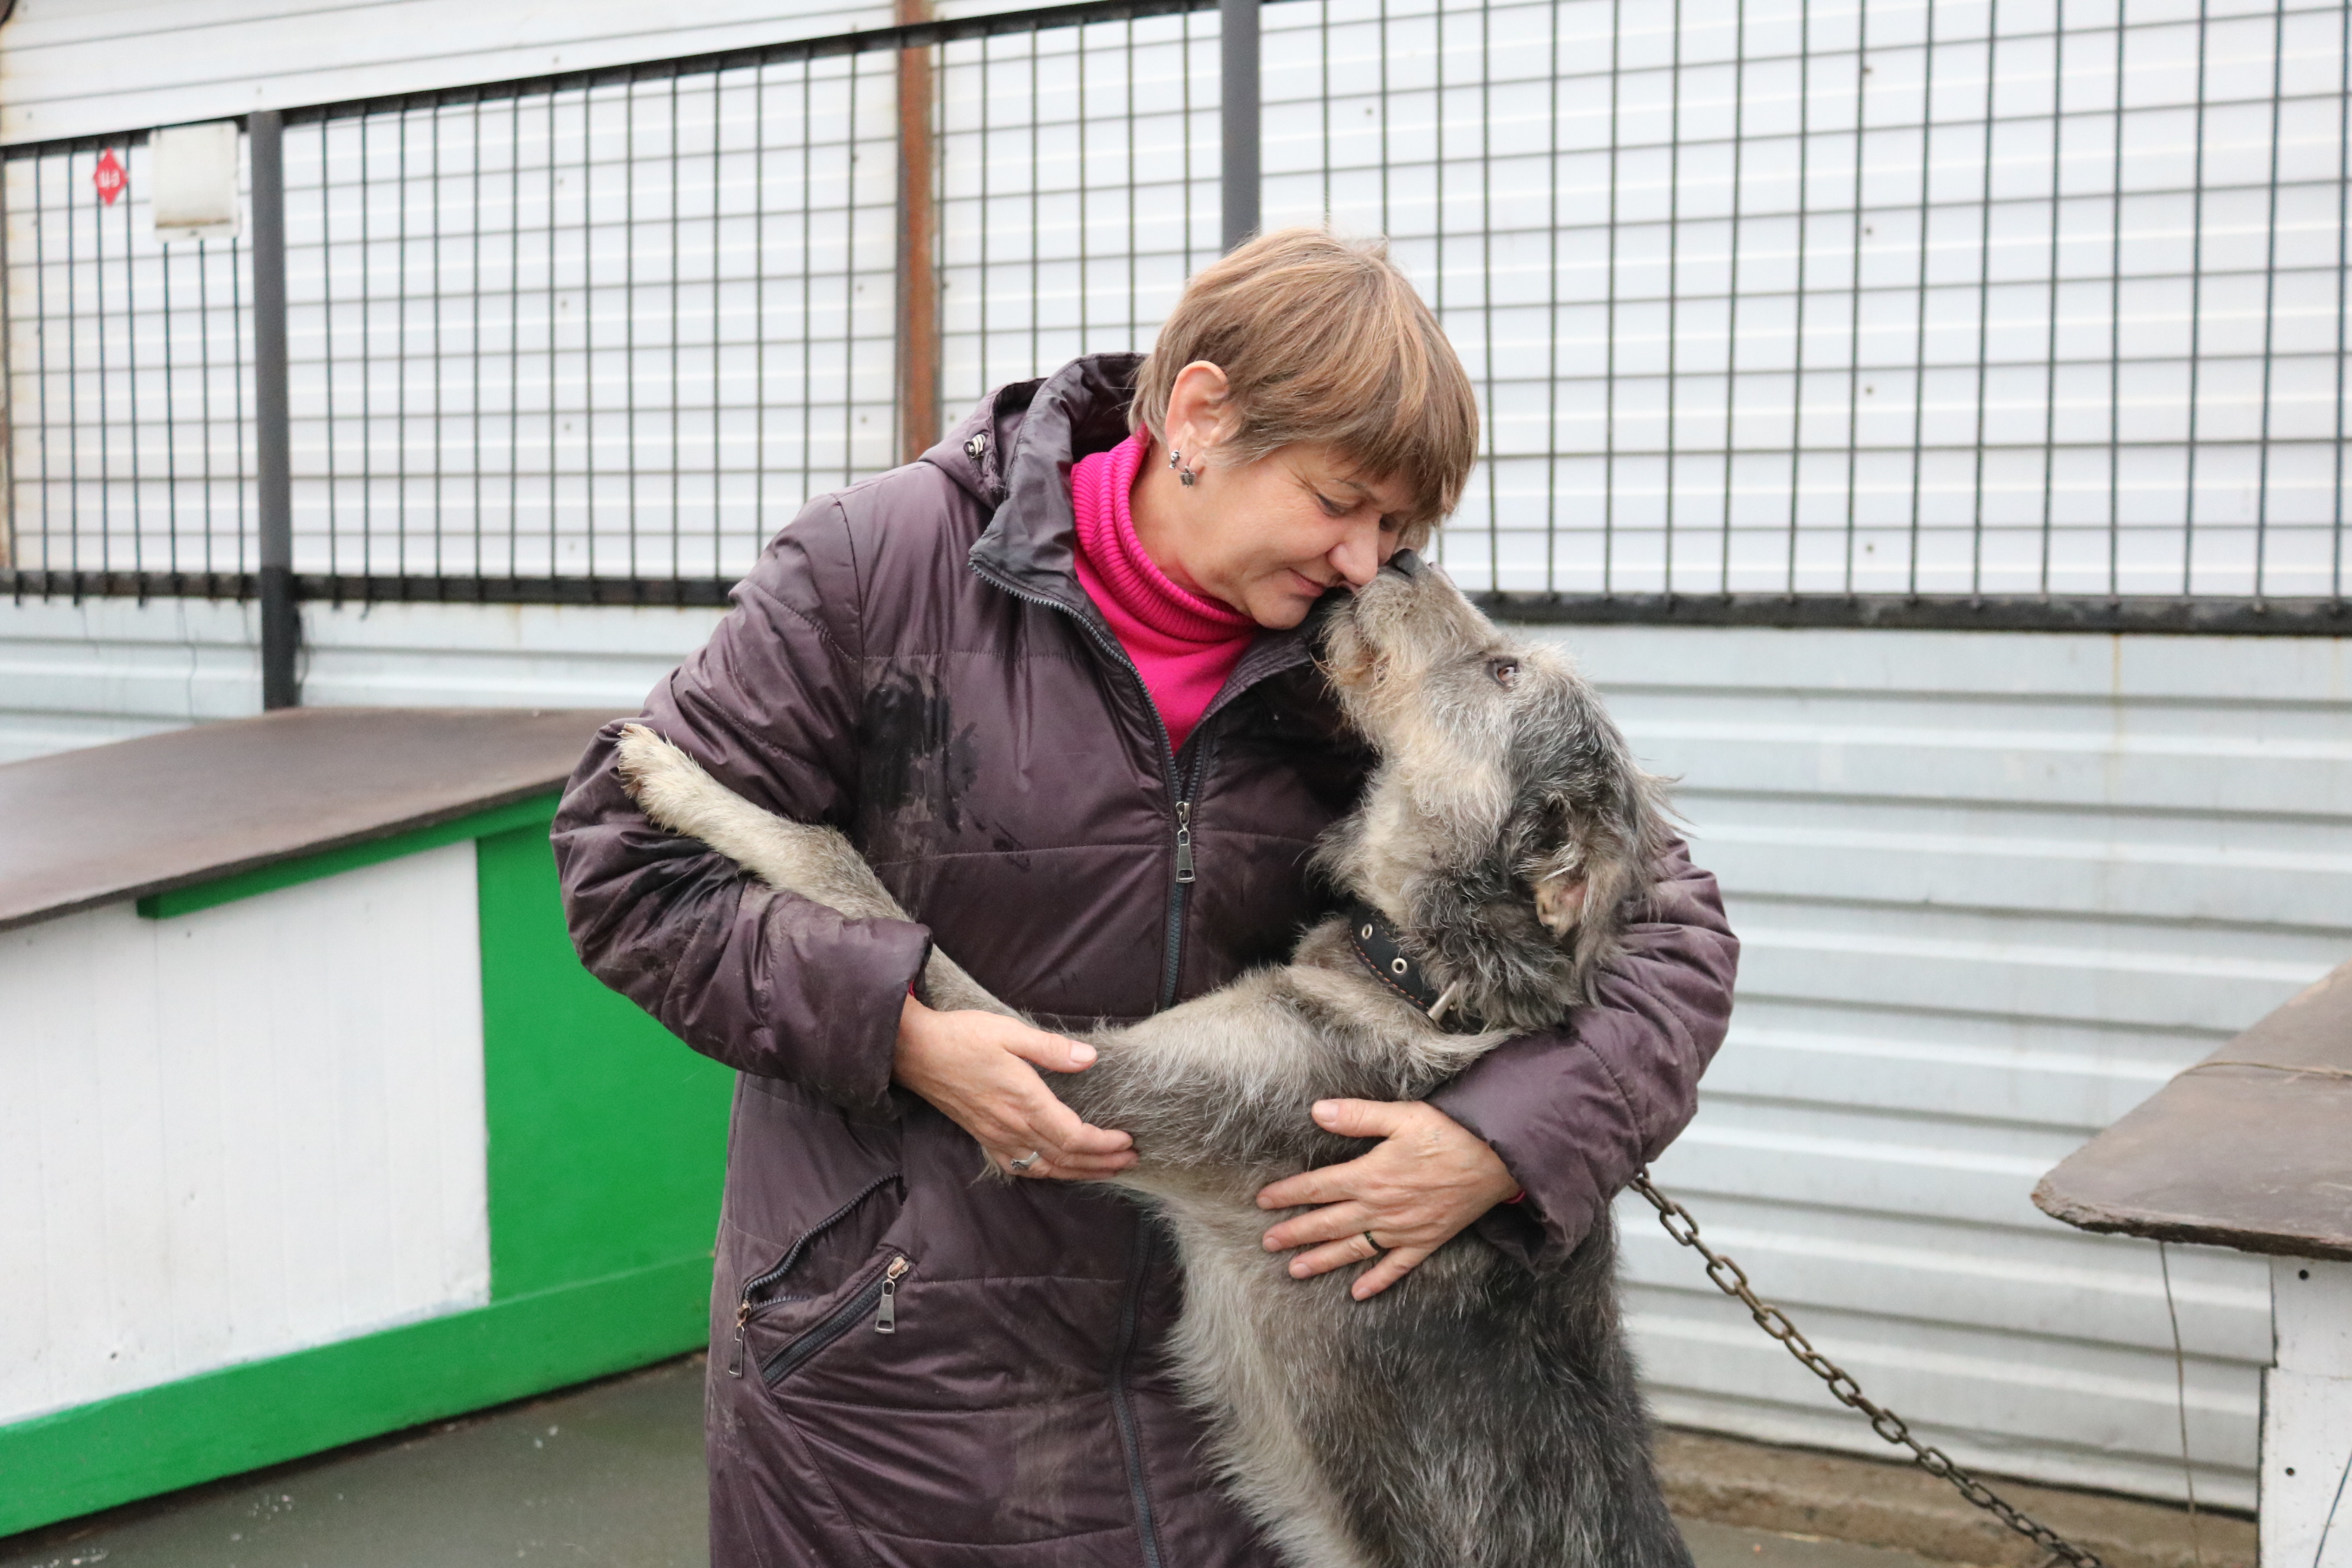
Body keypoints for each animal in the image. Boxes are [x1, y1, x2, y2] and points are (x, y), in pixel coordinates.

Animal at [616, 557, 1703, 1561]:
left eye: (1503, 668)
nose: (1396, 558)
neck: (1417, 973)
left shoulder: (1086, 1080)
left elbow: (837, 862)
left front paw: (684, 781)